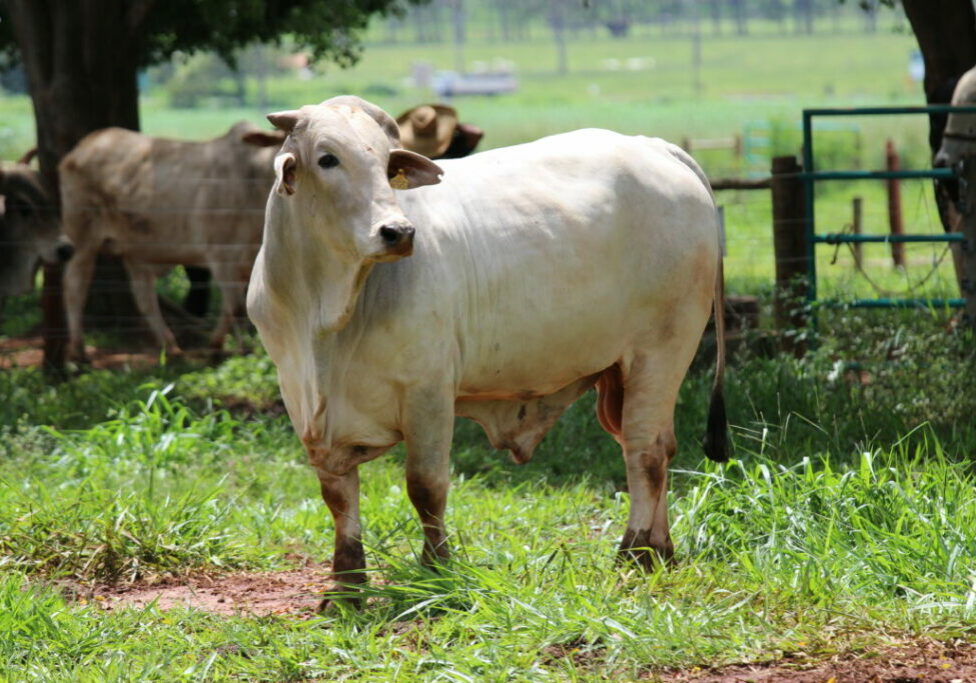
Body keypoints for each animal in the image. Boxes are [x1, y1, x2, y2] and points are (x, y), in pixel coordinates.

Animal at [59, 121, 282, 364]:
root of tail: (85, 144)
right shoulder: (221, 255)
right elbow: (237, 308)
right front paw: (235, 350)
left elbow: (240, 307)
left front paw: (221, 346)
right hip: (83, 239)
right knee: (74, 287)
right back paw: (78, 351)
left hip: (135, 250)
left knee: (144, 297)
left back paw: (171, 347)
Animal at [248, 96, 728, 608]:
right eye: (327, 158)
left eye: (387, 164)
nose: (398, 232)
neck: (324, 316)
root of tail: (655, 147)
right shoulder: (303, 402)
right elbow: (339, 499)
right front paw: (346, 588)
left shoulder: (428, 392)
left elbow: (426, 486)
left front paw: (436, 574)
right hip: (619, 373)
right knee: (656, 445)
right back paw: (661, 550)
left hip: (662, 351)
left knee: (645, 450)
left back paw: (635, 553)